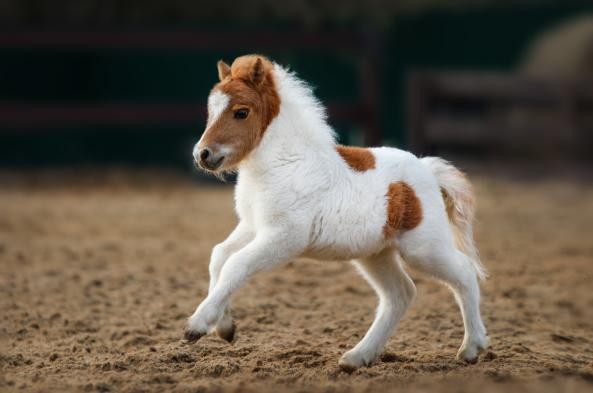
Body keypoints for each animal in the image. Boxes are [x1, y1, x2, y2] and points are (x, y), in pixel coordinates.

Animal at [187, 55, 488, 370]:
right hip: (376, 255)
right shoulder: (252, 226)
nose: (202, 155)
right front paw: (223, 326)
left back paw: (471, 348)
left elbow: (236, 264)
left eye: (241, 112)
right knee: (401, 294)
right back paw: (357, 357)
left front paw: (197, 324)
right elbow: (219, 256)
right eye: (211, 110)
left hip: (424, 248)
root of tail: (427, 169)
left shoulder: (283, 238)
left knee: (464, 272)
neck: (286, 163)